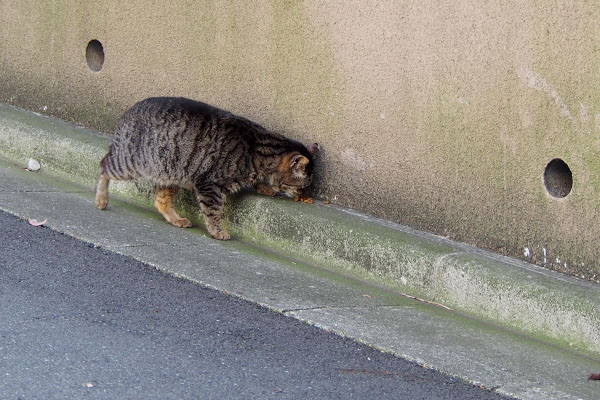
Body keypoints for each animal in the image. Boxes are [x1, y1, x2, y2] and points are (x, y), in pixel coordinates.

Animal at [95, 97, 318, 239]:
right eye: (302, 186)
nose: (304, 195)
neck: (256, 150)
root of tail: (129, 111)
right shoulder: (211, 186)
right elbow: (213, 212)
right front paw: (217, 231)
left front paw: (264, 188)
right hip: (129, 163)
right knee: (104, 165)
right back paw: (101, 199)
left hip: (170, 173)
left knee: (160, 201)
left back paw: (176, 219)